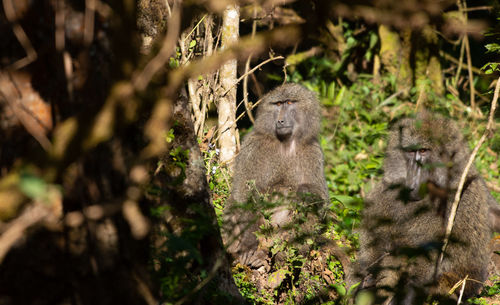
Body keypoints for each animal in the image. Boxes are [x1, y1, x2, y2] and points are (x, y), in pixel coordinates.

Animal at [223, 83, 328, 268]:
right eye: (278, 104)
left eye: (289, 102)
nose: (280, 121)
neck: (285, 143)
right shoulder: (253, 145)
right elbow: (242, 193)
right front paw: (249, 242)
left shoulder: (313, 151)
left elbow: (320, 202)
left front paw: (306, 193)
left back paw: (283, 257)